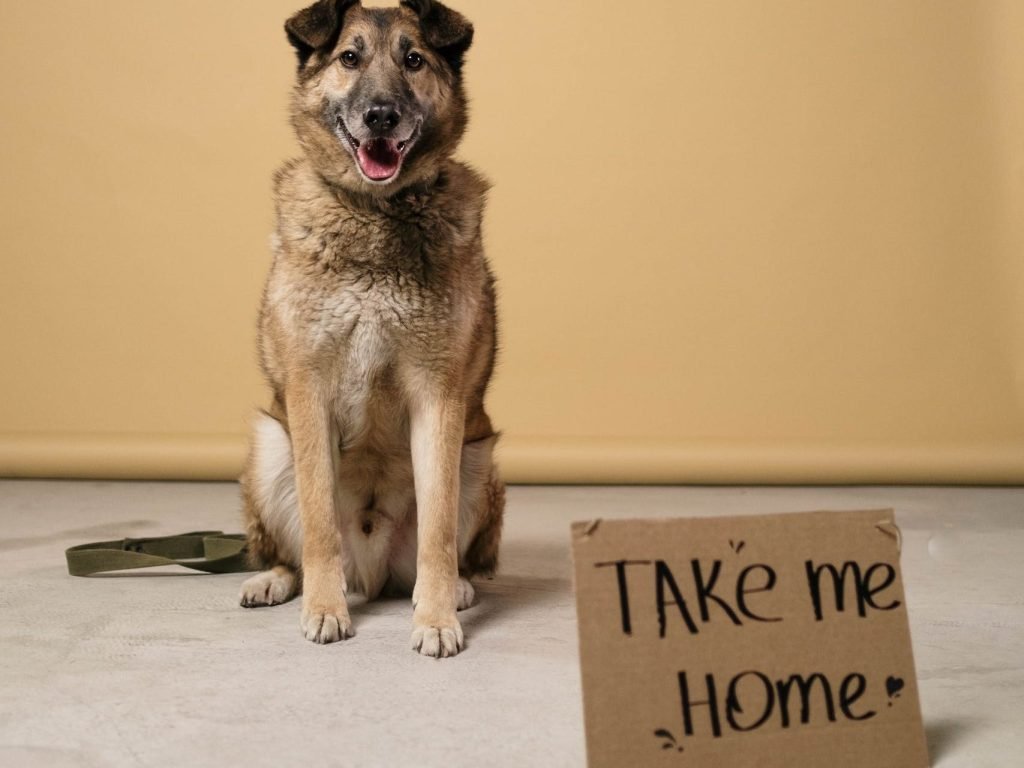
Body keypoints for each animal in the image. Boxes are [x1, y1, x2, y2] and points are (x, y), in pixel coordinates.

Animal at [233, 1, 503, 663]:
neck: (376, 216)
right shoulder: (308, 393)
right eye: (349, 58)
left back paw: (455, 590)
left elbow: (437, 530)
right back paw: (275, 580)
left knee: (446, 549)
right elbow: (320, 522)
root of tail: (375, 571)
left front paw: (435, 619)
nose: (381, 114)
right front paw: (325, 610)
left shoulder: (439, 398)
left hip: (479, 458)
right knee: (293, 551)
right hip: (268, 443)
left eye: (414, 59)